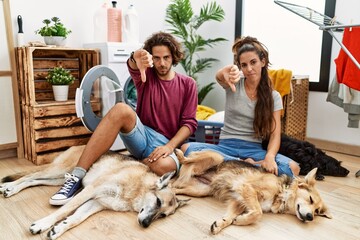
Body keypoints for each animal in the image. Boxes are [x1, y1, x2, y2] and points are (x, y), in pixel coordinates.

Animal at [0, 145, 186, 239]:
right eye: (158, 202)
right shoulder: (91, 190)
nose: (146, 224)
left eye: (162, 216)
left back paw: (10, 188)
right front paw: (43, 224)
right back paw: (8, 187)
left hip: (58, 178)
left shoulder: (96, 203)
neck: (136, 189)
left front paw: (59, 229)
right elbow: (65, 210)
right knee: (30, 175)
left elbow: (76, 218)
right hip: (59, 170)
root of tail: (79, 145)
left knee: (33, 180)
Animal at [172, 150, 332, 234]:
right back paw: (178, 154)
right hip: (216, 158)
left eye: (317, 211)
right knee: (188, 158)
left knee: (175, 188)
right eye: (310, 199)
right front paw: (241, 220)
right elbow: (258, 213)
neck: (282, 192)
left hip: (201, 190)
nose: (310, 217)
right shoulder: (246, 187)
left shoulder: (238, 200)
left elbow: (230, 217)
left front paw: (221, 224)